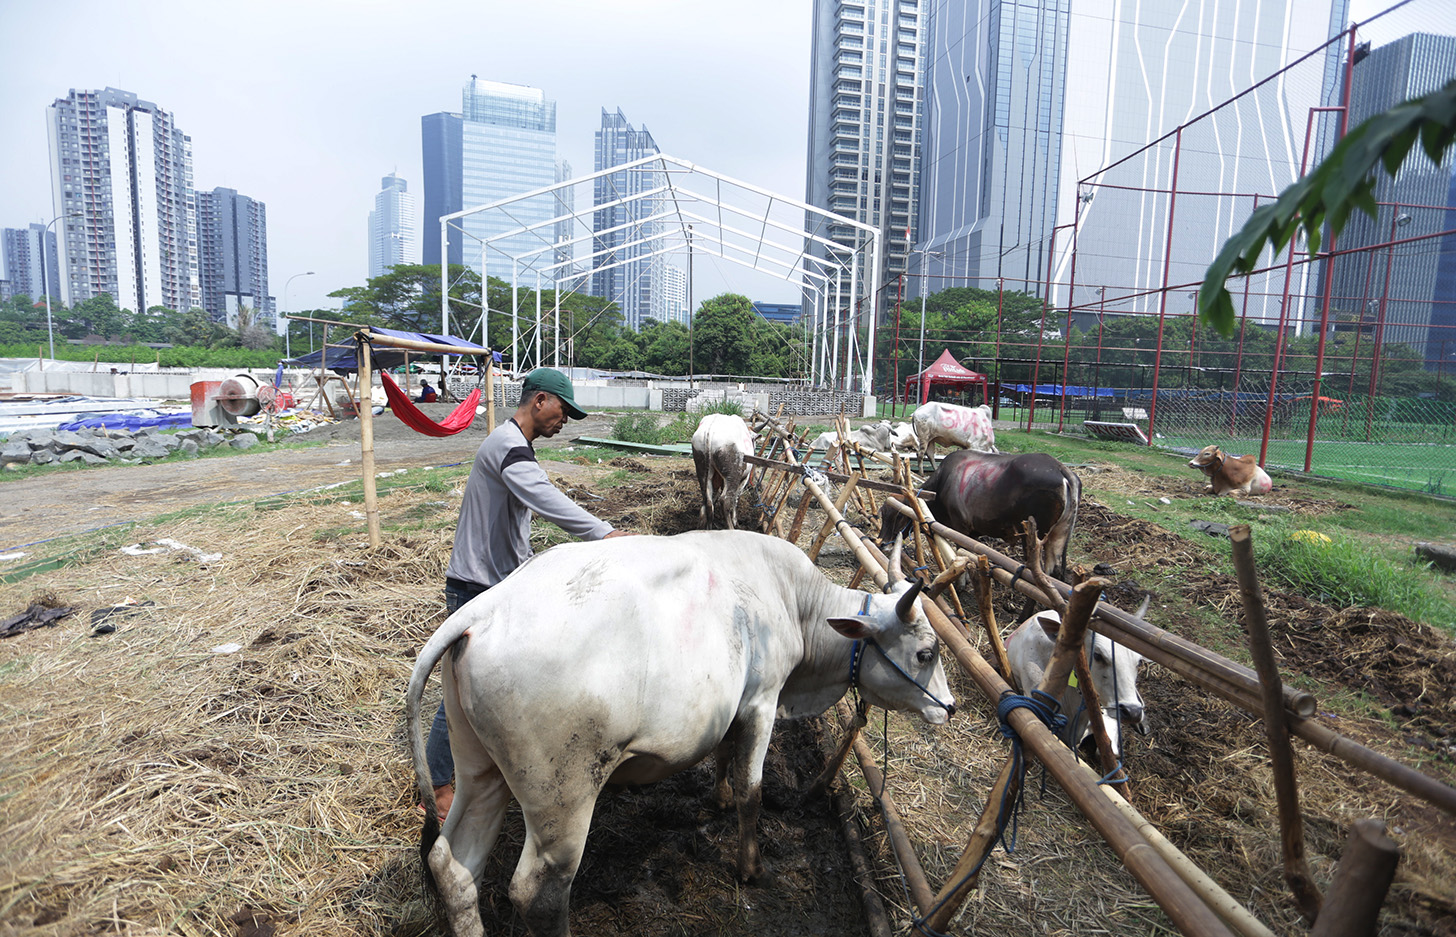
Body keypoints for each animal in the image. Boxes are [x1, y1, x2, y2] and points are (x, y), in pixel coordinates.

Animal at [873, 451, 1083, 581]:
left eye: (899, 516)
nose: (881, 543)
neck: (942, 483)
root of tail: (1062, 470)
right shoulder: (973, 533)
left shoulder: (962, 529)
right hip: (1059, 537)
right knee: (1054, 574)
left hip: (1033, 540)